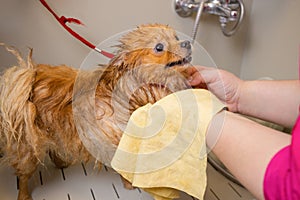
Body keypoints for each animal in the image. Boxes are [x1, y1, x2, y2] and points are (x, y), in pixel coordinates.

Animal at [0, 23, 192, 200]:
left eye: (176, 37)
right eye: (159, 47)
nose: (187, 42)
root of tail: (27, 75)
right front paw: (129, 184)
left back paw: (61, 162)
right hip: (28, 143)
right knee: (24, 174)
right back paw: (24, 194)